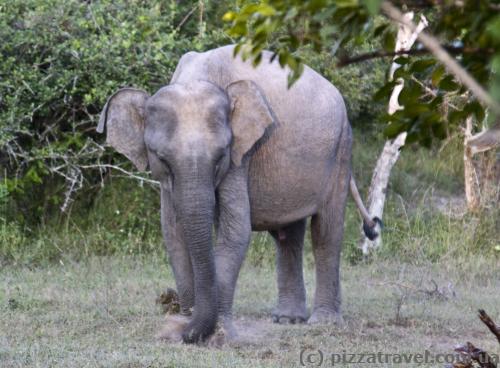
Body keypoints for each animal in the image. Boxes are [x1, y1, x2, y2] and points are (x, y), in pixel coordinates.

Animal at [96, 44, 378, 344]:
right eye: (162, 158)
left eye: (221, 156)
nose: (183, 329)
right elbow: (173, 232)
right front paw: (180, 329)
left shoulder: (241, 155)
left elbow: (235, 230)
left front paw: (216, 335)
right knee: (288, 235)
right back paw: (288, 320)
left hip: (341, 150)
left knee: (326, 231)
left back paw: (323, 322)